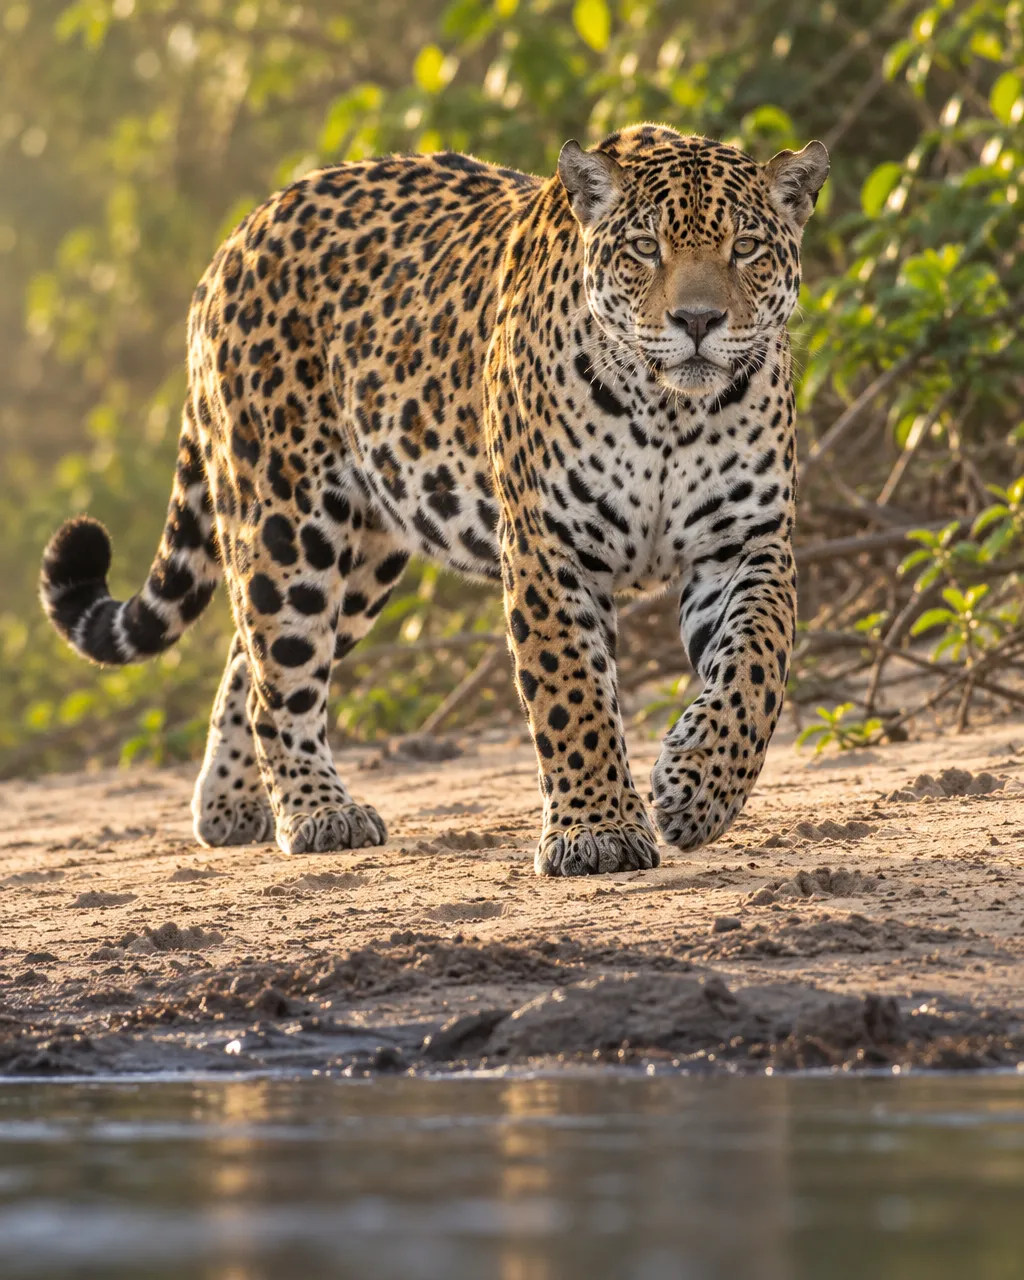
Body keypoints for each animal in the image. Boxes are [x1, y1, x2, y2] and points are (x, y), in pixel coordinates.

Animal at [40, 123, 829, 876]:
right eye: (644, 247)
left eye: (746, 247)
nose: (697, 320)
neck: (670, 412)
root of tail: (242, 232)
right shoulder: (548, 549)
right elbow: (572, 692)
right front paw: (597, 831)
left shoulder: (744, 544)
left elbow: (755, 668)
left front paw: (699, 790)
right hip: (289, 523)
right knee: (278, 671)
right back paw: (317, 811)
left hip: (365, 556)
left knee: (247, 659)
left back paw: (231, 805)